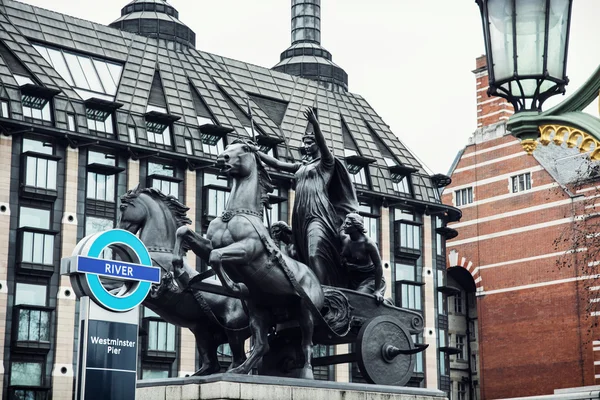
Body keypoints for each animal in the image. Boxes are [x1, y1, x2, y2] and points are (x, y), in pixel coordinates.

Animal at [117, 188, 248, 376]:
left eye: (123, 207)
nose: (119, 231)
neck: (160, 252)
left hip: (233, 330)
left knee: (239, 359)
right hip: (202, 332)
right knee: (212, 364)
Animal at [173, 140, 324, 378]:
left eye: (244, 148)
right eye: (228, 146)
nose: (222, 158)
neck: (236, 214)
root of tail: (316, 278)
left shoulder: (246, 251)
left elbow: (217, 258)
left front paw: (234, 286)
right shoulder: (210, 245)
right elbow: (183, 232)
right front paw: (178, 269)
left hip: (306, 310)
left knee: (306, 343)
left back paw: (306, 373)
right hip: (259, 310)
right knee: (263, 344)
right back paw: (240, 369)